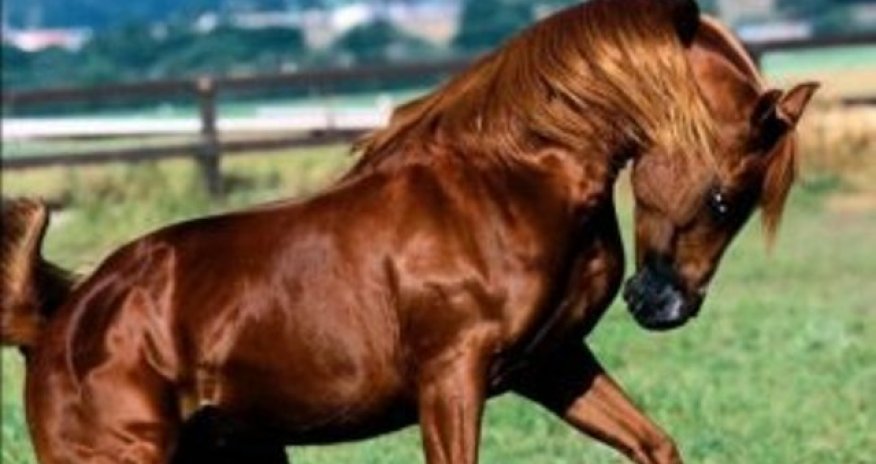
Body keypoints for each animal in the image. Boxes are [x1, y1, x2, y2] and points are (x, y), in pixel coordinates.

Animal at [0, 0, 817, 463]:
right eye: (725, 198)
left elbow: (654, 445)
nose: (664, 306)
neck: (509, 185)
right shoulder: (451, 377)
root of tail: (57, 323)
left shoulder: (553, 364)